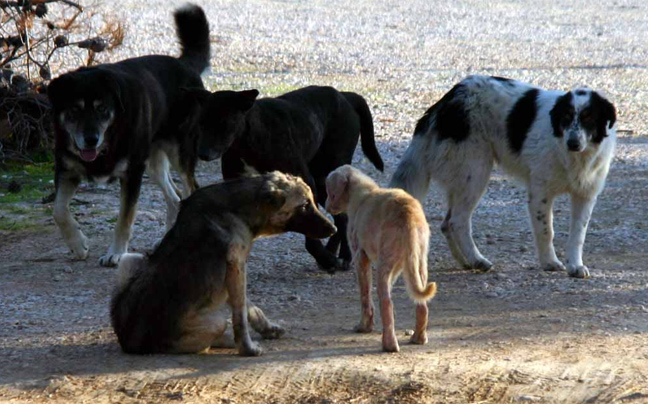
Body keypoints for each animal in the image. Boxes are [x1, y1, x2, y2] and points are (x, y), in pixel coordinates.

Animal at [48, 5, 210, 268]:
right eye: (74, 110)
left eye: (102, 109)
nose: (90, 139)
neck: (109, 139)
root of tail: (184, 65)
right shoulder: (67, 170)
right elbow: (59, 210)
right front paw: (78, 245)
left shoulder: (132, 174)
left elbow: (124, 219)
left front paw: (115, 253)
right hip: (153, 162)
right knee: (175, 198)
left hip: (179, 152)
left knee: (190, 189)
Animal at [109, 172, 336, 356]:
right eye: (304, 205)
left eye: (312, 201)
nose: (333, 229)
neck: (238, 209)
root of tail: (128, 341)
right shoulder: (236, 267)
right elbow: (240, 315)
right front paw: (247, 348)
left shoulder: (235, 273)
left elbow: (250, 307)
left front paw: (267, 329)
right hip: (213, 322)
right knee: (203, 340)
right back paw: (225, 341)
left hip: (131, 260)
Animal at [184, 87, 384, 274]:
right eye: (201, 123)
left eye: (224, 123)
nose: (202, 153)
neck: (248, 140)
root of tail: (344, 95)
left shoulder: (306, 183)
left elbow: (311, 233)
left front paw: (325, 258)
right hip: (323, 182)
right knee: (340, 217)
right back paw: (333, 253)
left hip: (328, 173)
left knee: (343, 217)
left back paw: (343, 256)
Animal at [326, 166, 438, 352]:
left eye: (330, 192)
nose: (327, 207)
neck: (362, 192)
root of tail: (409, 215)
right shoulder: (399, 267)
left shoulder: (360, 257)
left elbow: (365, 296)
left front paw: (364, 327)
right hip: (419, 263)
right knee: (421, 304)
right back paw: (418, 338)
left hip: (384, 265)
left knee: (386, 302)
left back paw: (389, 345)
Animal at [392, 75, 616, 278]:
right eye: (566, 117)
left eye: (589, 118)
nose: (573, 143)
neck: (573, 156)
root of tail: (447, 100)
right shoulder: (540, 193)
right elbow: (546, 231)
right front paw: (550, 262)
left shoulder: (585, 195)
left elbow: (578, 234)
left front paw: (575, 266)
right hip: (475, 171)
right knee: (457, 221)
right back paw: (477, 259)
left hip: (463, 178)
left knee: (446, 223)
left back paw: (465, 262)